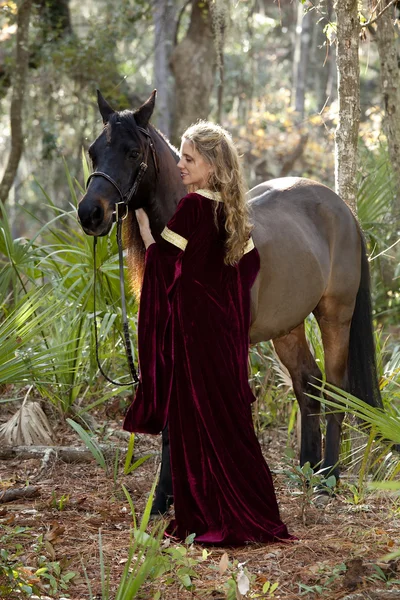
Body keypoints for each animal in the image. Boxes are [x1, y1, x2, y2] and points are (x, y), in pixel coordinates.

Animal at [78, 91, 382, 512]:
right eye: (93, 151)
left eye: (132, 151)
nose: (90, 213)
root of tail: (343, 211)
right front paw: (164, 500)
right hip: (287, 327)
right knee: (308, 384)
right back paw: (308, 472)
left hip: (336, 316)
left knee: (335, 387)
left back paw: (328, 479)